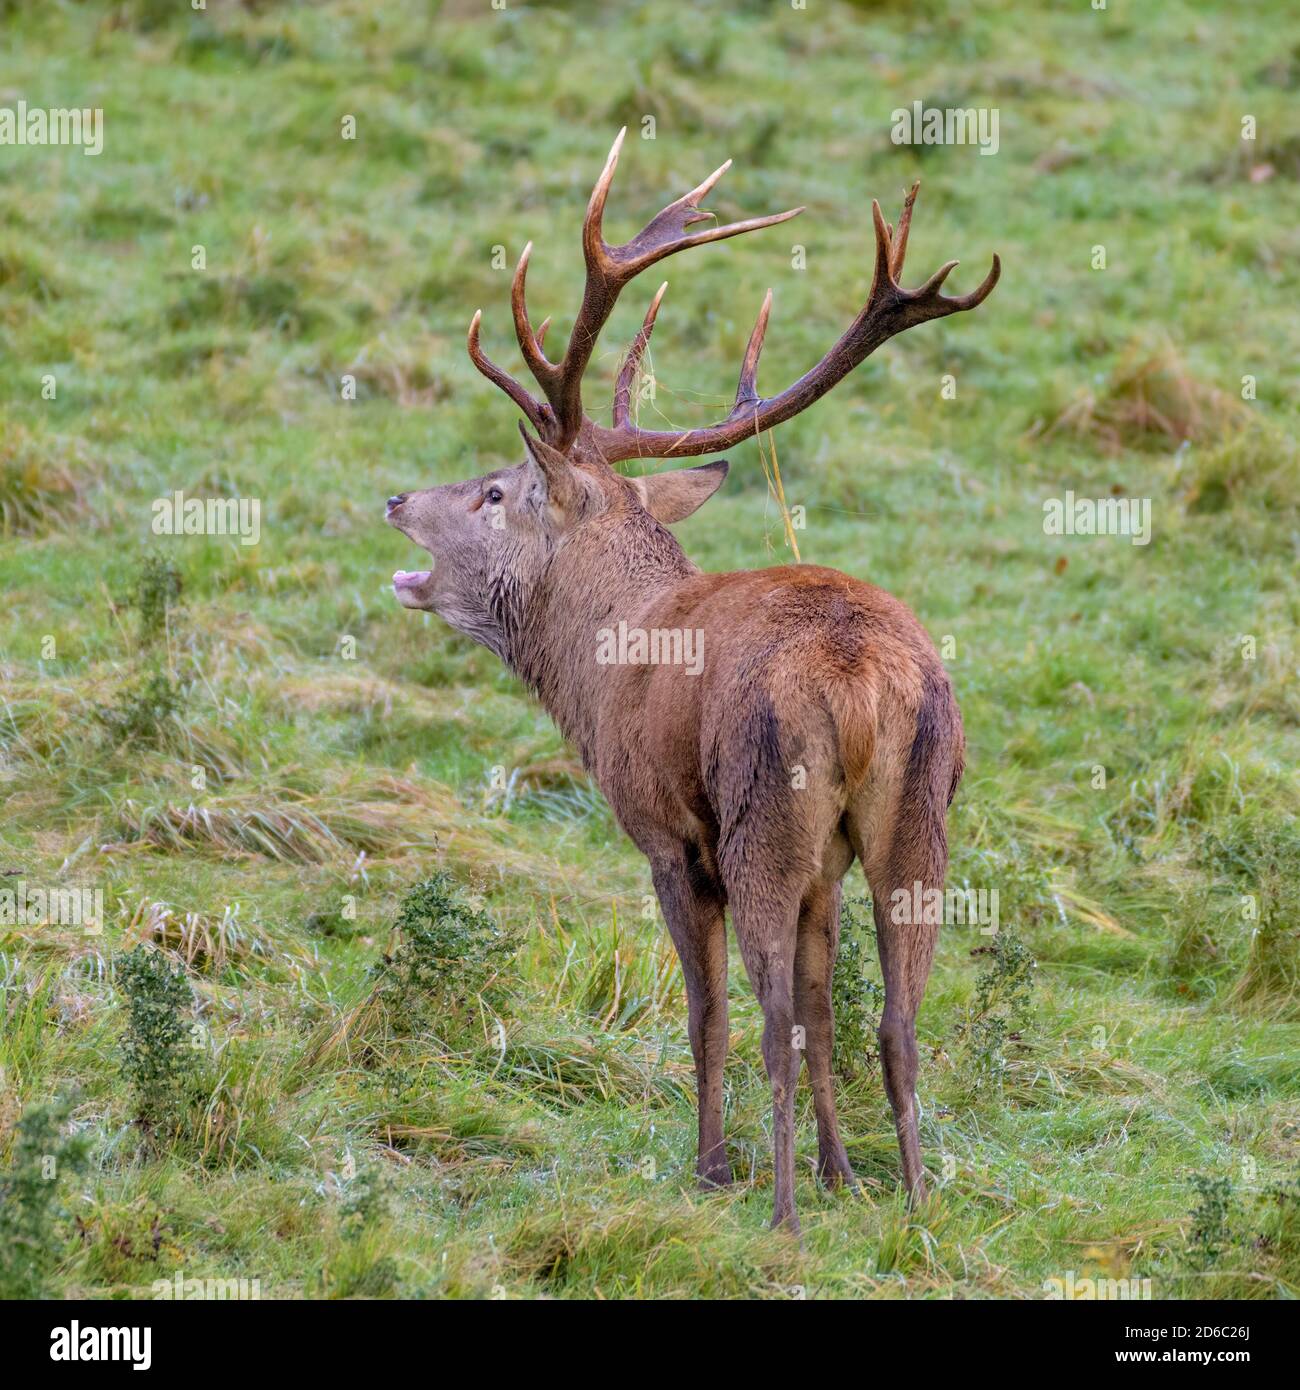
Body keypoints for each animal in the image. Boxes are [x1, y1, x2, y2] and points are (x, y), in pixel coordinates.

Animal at [385, 130, 999, 1232]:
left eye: (495, 491)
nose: (397, 499)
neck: (599, 666)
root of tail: (861, 683)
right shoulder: (827, 867)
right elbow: (824, 1010)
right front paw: (844, 1175)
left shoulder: (665, 832)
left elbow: (709, 1010)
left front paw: (714, 1166)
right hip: (917, 809)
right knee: (894, 1019)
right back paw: (916, 1204)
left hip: (763, 812)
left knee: (765, 1017)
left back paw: (780, 1215)